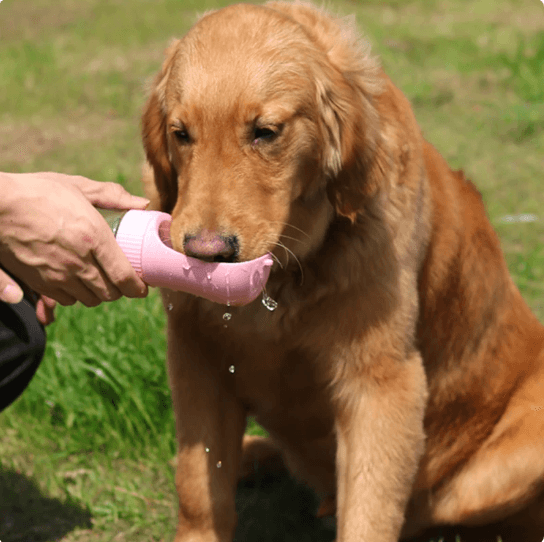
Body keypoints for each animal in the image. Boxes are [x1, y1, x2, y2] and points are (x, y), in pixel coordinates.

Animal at [140, 2, 544, 540]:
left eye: (265, 132)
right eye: (181, 134)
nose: (205, 253)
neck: (285, 274)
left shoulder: (381, 381)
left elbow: (369, 512)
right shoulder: (195, 356)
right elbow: (198, 488)